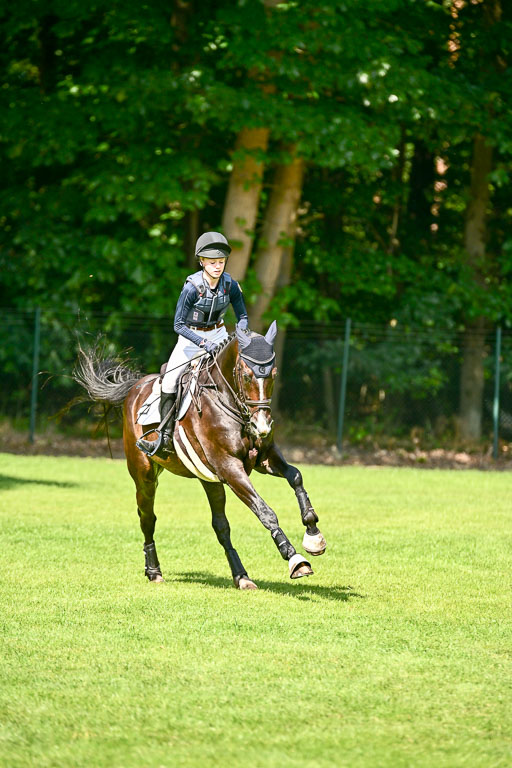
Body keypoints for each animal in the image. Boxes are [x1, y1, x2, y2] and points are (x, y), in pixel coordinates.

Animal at [74, 322, 327, 590]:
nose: (262, 426)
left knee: (220, 526)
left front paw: (313, 534)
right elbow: (265, 511)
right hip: (145, 475)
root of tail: (135, 388)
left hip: (209, 480)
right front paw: (295, 559)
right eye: (247, 375)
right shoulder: (230, 468)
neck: (229, 402)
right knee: (147, 517)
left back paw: (241, 577)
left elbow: (295, 477)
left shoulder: (264, 459)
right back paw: (154, 571)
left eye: (273, 374)